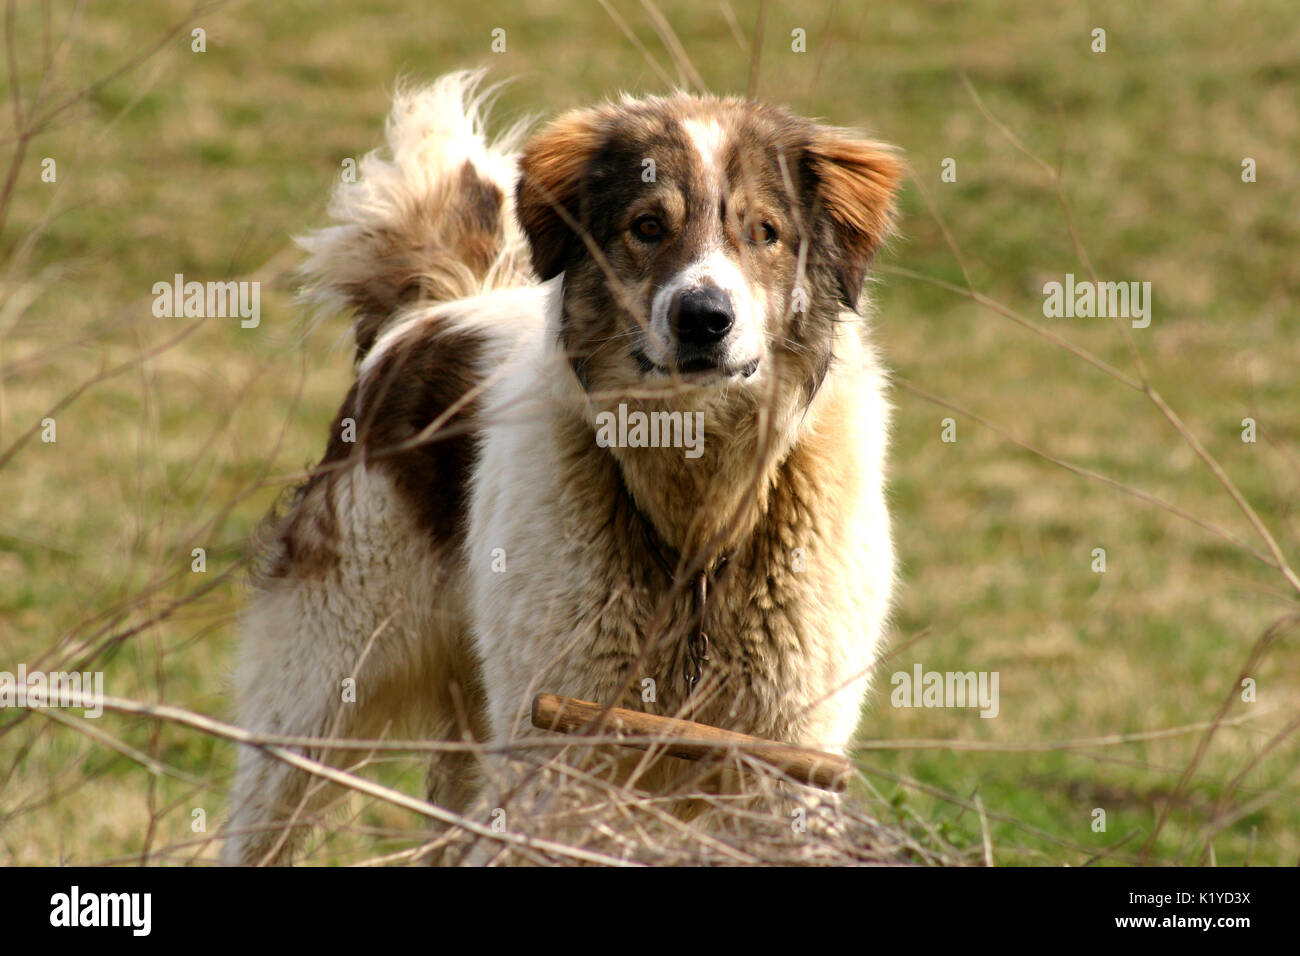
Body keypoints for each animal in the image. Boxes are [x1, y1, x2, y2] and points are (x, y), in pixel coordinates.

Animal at [220, 72, 904, 868]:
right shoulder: (561, 743)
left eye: (765, 232)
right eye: (647, 226)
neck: (696, 507)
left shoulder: (783, 760)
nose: (704, 318)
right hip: (321, 688)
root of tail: (431, 312)